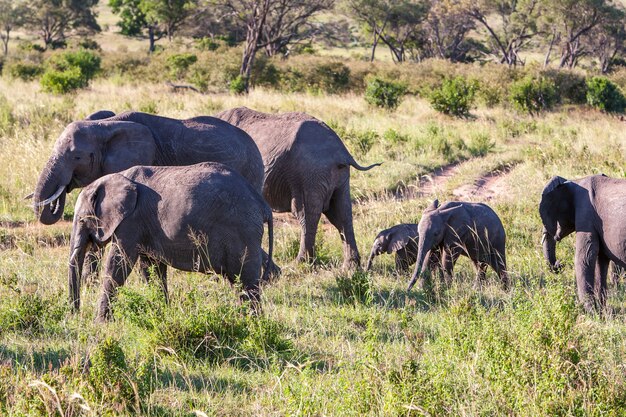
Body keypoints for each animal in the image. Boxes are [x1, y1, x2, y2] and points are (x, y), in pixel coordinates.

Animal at [68, 161, 272, 320]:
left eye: (81, 220)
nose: (75, 315)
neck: (114, 178)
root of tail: (262, 204)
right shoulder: (145, 225)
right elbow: (151, 268)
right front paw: (162, 314)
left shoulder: (131, 221)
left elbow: (119, 263)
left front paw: (100, 323)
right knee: (238, 283)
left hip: (243, 231)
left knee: (247, 281)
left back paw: (253, 324)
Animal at [214, 107, 380, 268]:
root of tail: (342, 153)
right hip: (339, 177)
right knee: (342, 213)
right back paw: (350, 267)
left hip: (310, 173)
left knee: (306, 214)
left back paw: (301, 263)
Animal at [536, 173, 624, 312]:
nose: (559, 264)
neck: (575, 181)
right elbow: (601, 260)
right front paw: (602, 312)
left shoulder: (586, 216)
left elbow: (584, 259)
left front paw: (590, 313)